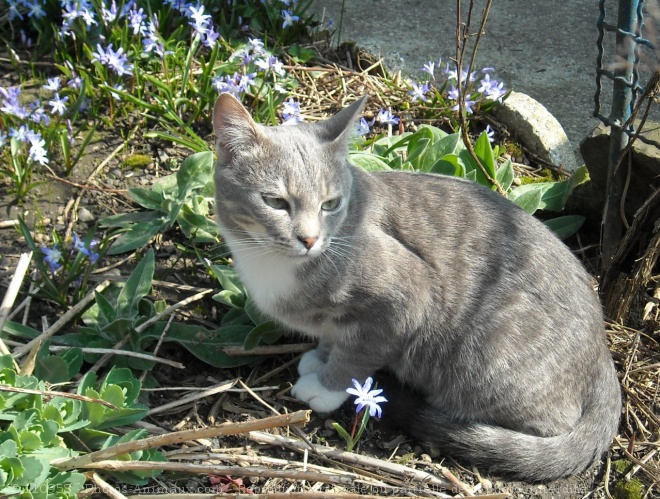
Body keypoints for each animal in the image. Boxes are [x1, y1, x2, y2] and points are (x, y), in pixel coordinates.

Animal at [214, 92, 620, 482]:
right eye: (275, 202)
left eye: (330, 204)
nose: (310, 239)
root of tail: (604, 354)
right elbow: (335, 335)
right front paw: (321, 355)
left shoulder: (408, 297)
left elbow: (358, 352)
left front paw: (328, 385)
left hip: (490, 356)